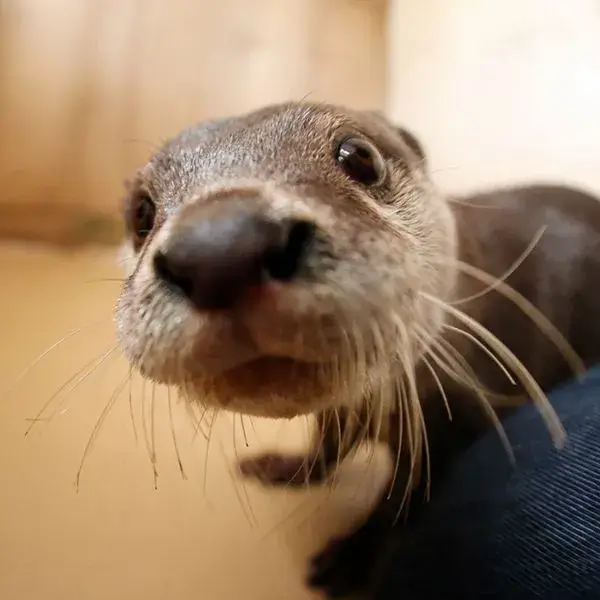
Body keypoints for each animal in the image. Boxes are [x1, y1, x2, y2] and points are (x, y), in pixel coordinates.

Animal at [115, 102, 600, 599]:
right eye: (140, 213)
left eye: (360, 156)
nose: (221, 244)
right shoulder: (341, 413)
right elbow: (327, 447)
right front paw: (287, 469)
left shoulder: (458, 425)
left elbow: (400, 504)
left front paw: (350, 557)